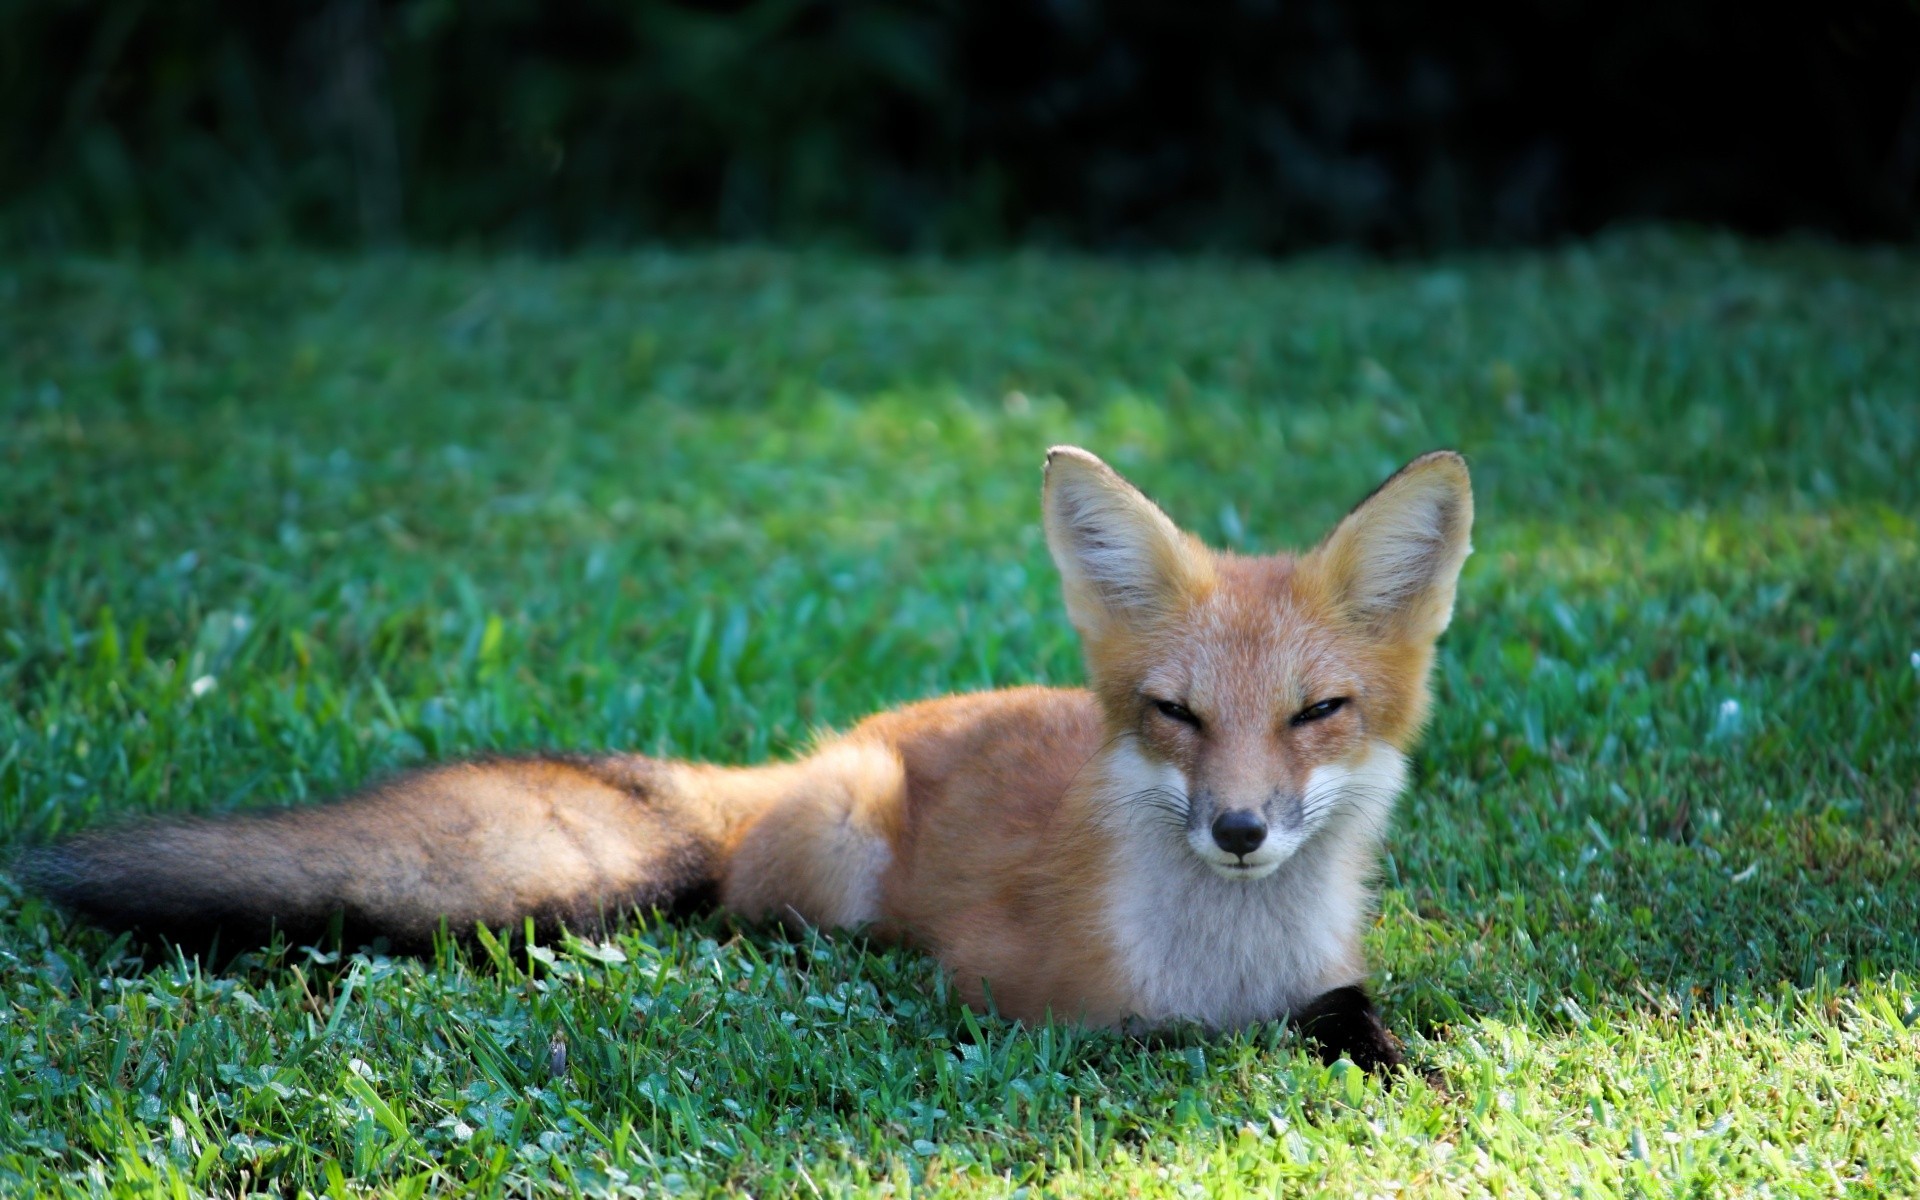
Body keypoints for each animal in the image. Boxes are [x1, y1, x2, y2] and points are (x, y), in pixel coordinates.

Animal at [18, 445, 1466, 1075]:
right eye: (1175, 714)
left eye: (1317, 712)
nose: (1239, 832)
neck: (1229, 958)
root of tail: (817, 752)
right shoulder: (1012, 996)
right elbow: (1149, 1042)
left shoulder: (1327, 972)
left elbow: (1355, 1021)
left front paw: (1396, 1064)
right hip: (837, 865)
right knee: (747, 914)